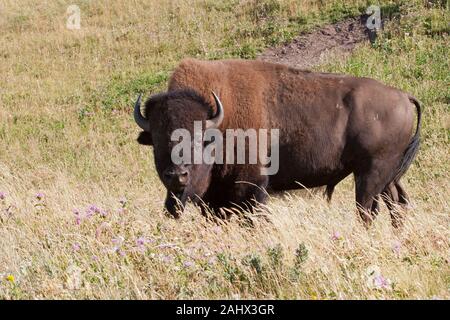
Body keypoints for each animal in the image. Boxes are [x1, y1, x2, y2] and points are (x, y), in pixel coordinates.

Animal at [134, 58, 422, 228]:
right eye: (157, 141)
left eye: (199, 139)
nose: (177, 176)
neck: (220, 120)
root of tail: (403, 97)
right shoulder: (215, 199)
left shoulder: (252, 186)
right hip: (386, 175)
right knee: (397, 203)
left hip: (371, 174)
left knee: (367, 209)